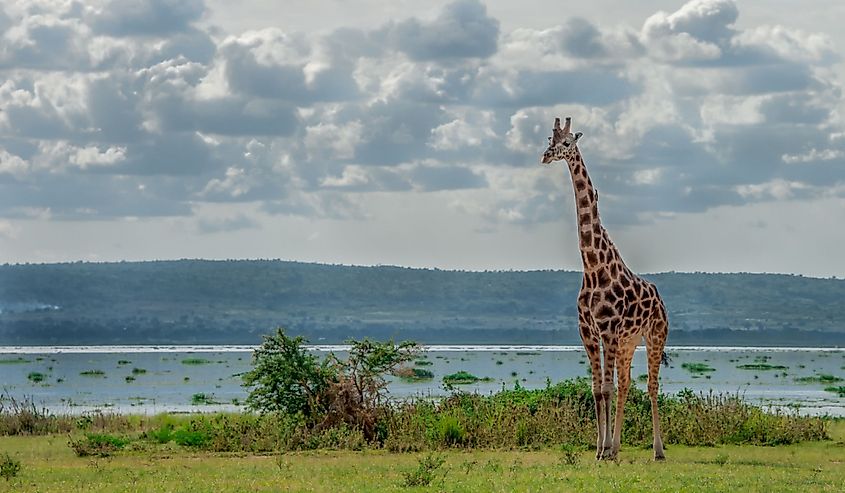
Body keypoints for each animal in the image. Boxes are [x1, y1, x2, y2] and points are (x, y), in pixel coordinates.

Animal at [536, 117, 668, 460]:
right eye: (549, 140)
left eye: (568, 143)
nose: (545, 156)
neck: (593, 266)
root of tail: (660, 299)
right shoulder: (587, 331)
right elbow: (598, 389)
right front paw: (600, 449)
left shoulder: (607, 329)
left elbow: (606, 388)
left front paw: (606, 448)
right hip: (628, 343)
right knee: (626, 385)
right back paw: (619, 446)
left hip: (655, 335)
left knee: (651, 386)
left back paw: (658, 450)